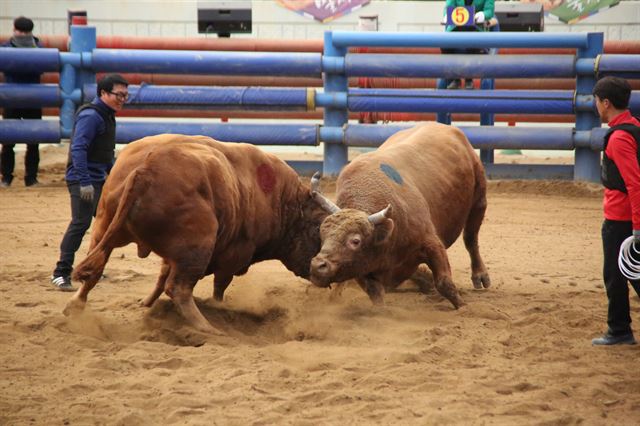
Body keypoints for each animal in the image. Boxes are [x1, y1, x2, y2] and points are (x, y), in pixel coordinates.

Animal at [69, 133, 330, 332]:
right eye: (317, 229)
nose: (322, 271)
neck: (278, 197)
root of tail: (145, 169)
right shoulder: (234, 255)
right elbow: (219, 286)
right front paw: (219, 308)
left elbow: (162, 275)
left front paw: (145, 303)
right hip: (199, 246)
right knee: (179, 288)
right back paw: (206, 327)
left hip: (103, 227)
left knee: (95, 268)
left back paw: (75, 306)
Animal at [308, 122, 490, 306]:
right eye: (322, 234)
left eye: (355, 241)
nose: (317, 265)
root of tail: (446, 127)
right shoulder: (362, 268)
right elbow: (376, 295)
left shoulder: (432, 243)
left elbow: (444, 283)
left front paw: (463, 306)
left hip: (479, 201)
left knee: (471, 239)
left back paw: (480, 276)